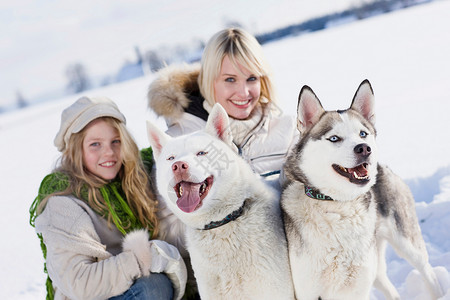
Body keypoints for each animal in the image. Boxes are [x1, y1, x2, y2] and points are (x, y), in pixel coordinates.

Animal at [282, 80, 442, 300]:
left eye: (363, 134)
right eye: (334, 138)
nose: (364, 148)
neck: (339, 205)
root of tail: (383, 167)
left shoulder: (359, 286)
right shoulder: (309, 290)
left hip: (407, 244)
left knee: (428, 272)